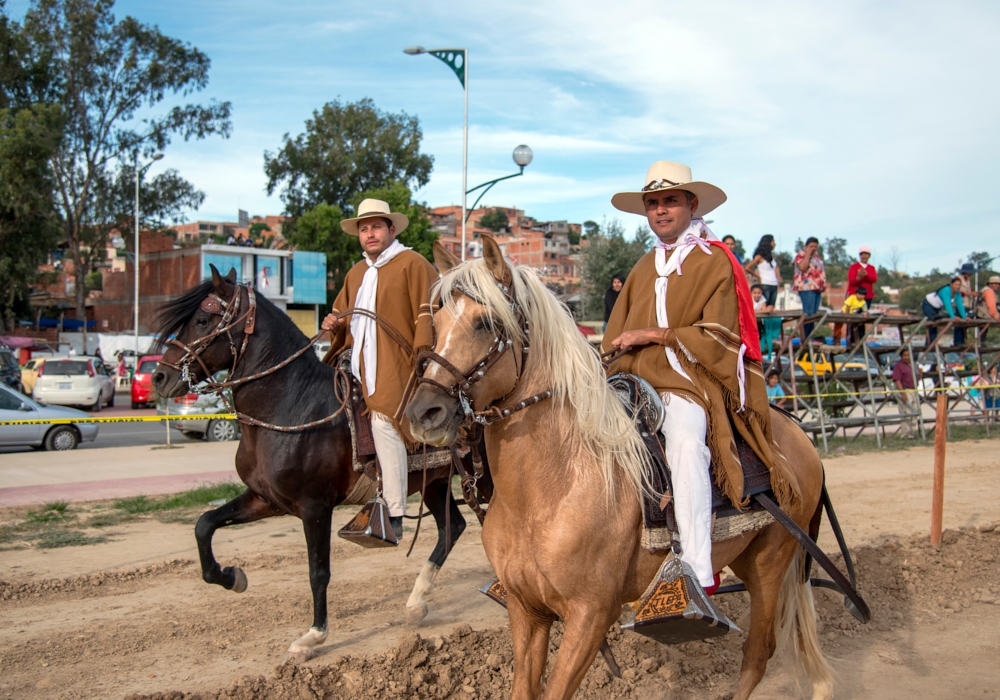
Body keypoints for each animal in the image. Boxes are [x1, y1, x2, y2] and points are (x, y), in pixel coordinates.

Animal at [153, 266, 472, 660]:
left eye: (201, 319)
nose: (160, 377)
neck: (290, 405)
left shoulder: (314, 507)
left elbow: (318, 571)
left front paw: (314, 636)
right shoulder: (266, 499)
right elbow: (204, 524)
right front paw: (231, 576)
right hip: (435, 482)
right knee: (452, 527)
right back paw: (417, 602)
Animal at [406, 237, 836, 700]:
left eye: (485, 322)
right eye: (437, 322)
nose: (423, 412)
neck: (550, 490)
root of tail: (795, 431)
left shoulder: (589, 616)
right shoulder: (527, 610)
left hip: (770, 564)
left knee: (759, 653)